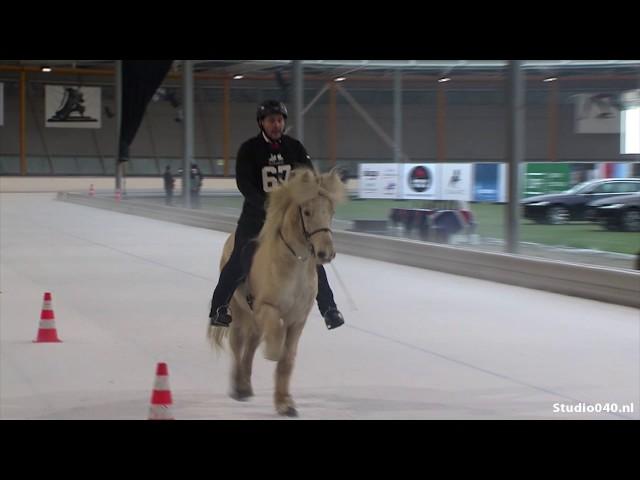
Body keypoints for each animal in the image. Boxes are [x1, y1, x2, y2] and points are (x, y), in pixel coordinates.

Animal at [210, 169, 348, 416]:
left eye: (331, 211)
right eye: (307, 211)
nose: (326, 253)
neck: (293, 263)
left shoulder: (298, 320)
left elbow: (287, 360)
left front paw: (285, 403)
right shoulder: (268, 309)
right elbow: (276, 345)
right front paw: (271, 353)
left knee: (250, 346)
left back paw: (245, 385)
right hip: (238, 311)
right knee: (238, 344)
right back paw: (238, 388)